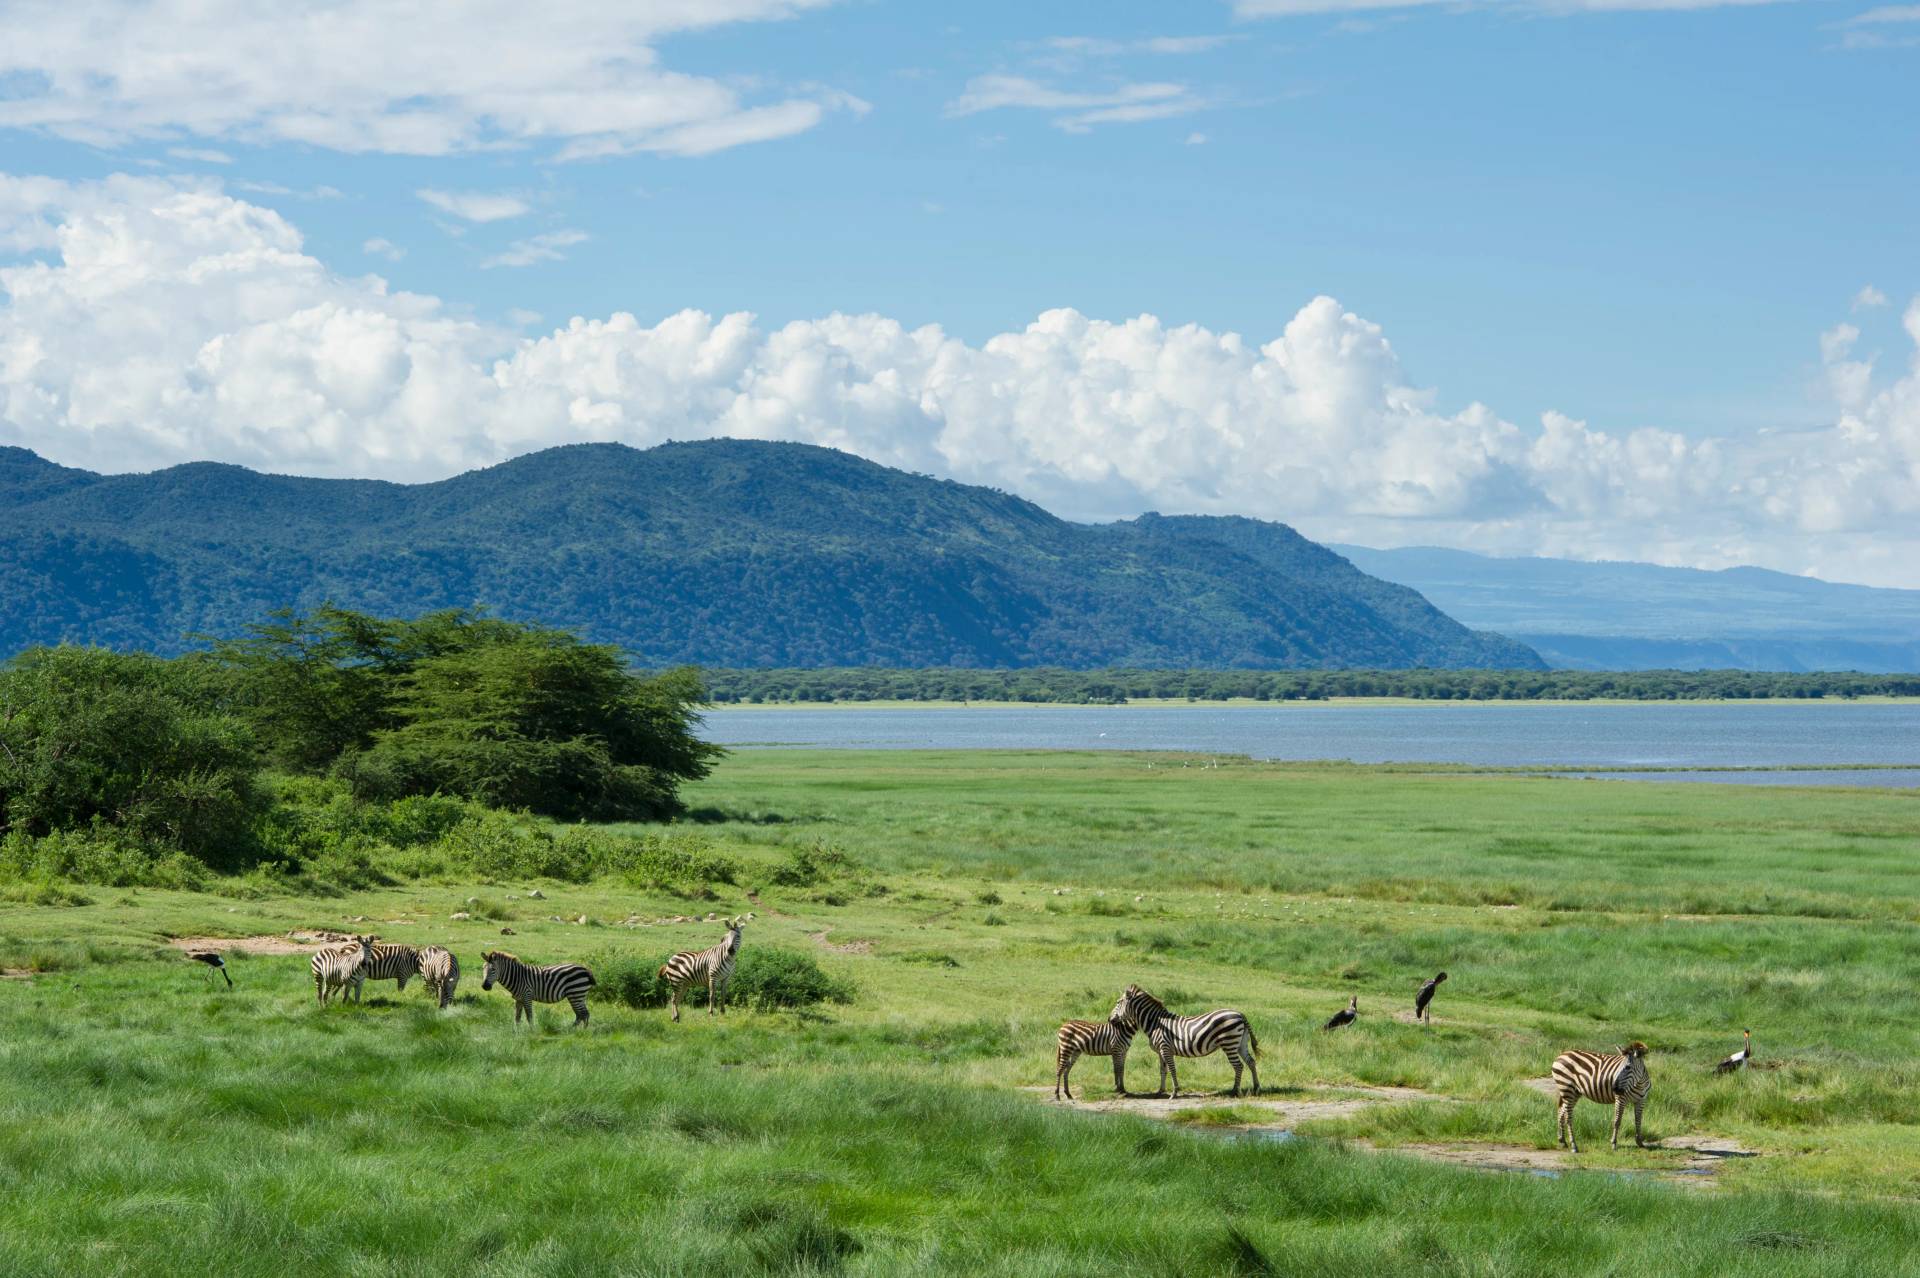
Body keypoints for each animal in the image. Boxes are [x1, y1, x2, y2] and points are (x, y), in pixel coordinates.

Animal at [1110, 984, 1261, 1098]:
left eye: (1118, 1002)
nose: (1109, 1019)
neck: (1156, 1024)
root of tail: (1240, 1014)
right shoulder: (1160, 1051)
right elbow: (1162, 1070)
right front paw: (1160, 1091)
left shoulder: (1166, 1048)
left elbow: (1172, 1069)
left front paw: (1174, 1092)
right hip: (1240, 1044)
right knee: (1251, 1062)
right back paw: (1256, 1088)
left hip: (1229, 1043)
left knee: (1239, 1066)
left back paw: (1234, 1091)